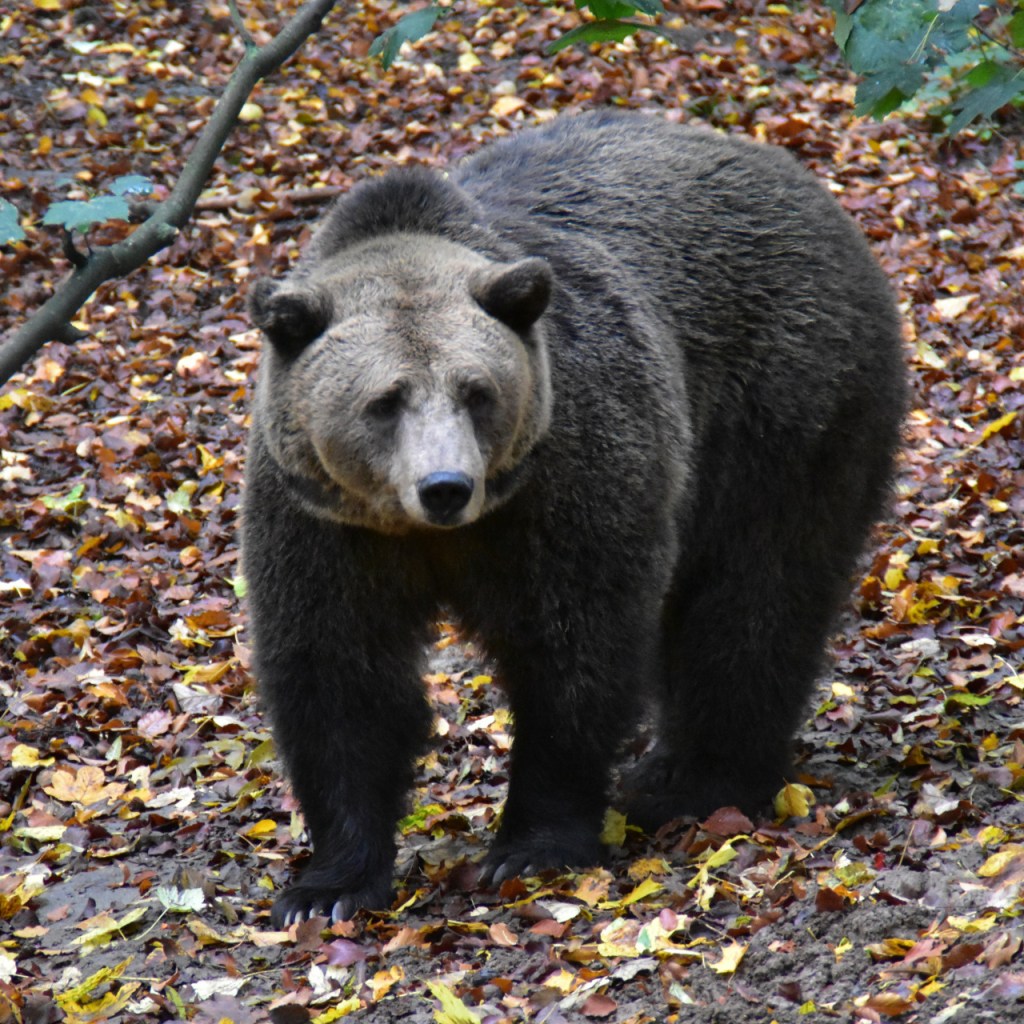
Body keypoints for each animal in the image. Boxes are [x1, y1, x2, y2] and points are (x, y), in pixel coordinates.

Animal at [243, 110, 906, 927]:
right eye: (385, 400)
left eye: (476, 390)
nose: (445, 486)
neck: (432, 538)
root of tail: (796, 177)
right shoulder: (324, 524)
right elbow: (337, 676)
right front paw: (328, 887)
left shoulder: (572, 474)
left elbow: (575, 650)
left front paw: (530, 845)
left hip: (782, 410)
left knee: (754, 600)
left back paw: (691, 780)